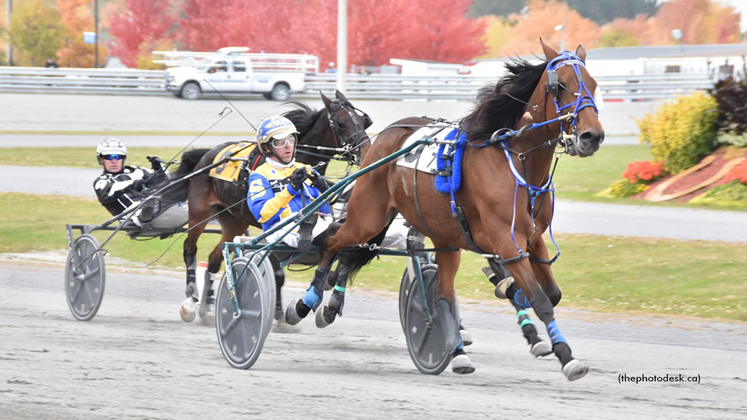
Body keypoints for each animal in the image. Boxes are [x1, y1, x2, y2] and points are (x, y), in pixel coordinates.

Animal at [172, 91, 372, 322]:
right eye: (341, 123)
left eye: (363, 122)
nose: (366, 150)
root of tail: (209, 153)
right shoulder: (273, 229)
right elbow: (277, 271)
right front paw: (277, 314)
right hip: (199, 212)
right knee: (189, 248)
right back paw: (190, 303)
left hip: (235, 222)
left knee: (214, 258)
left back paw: (206, 306)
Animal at [284, 40, 604, 380]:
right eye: (561, 86)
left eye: (594, 85)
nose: (592, 136)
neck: (516, 160)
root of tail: (384, 137)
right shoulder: (507, 242)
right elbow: (541, 300)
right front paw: (567, 357)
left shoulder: (532, 239)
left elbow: (550, 295)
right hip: (368, 217)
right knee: (332, 241)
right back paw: (305, 304)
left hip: (443, 236)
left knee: (442, 294)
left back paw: (456, 350)